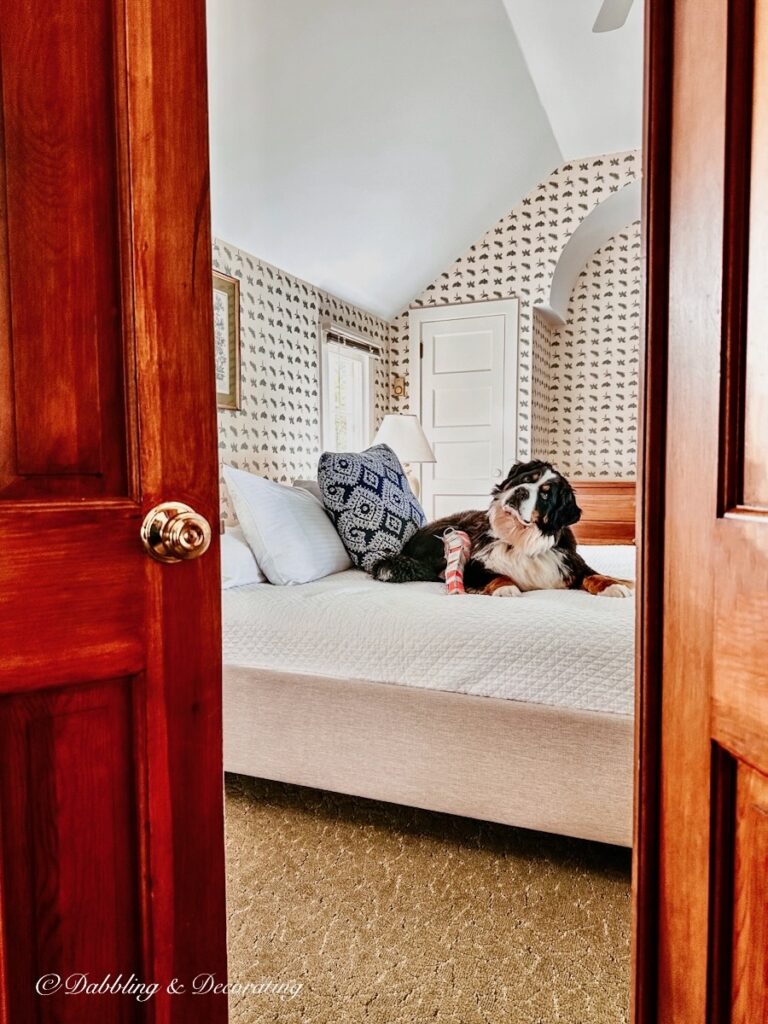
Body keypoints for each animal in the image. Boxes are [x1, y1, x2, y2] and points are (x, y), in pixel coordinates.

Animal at [370, 458, 630, 598]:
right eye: (525, 479)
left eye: (546, 495)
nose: (521, 491)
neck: (520, 539)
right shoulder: (474, 566)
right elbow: (497, 574)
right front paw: (507, 588)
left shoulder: (570, 563)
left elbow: (594, 574)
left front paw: (614, 585)